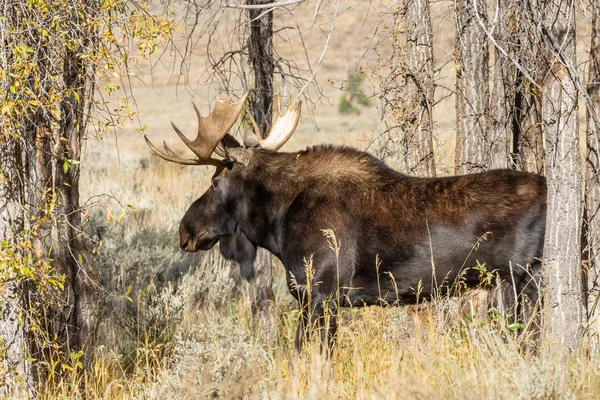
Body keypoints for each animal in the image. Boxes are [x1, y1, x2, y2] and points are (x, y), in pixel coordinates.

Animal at [144, 94, 544, 350]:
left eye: (214, 183)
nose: (185, 230)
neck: (277, 223)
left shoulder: (320, 292)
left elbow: (311, 353)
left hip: (524, 277)